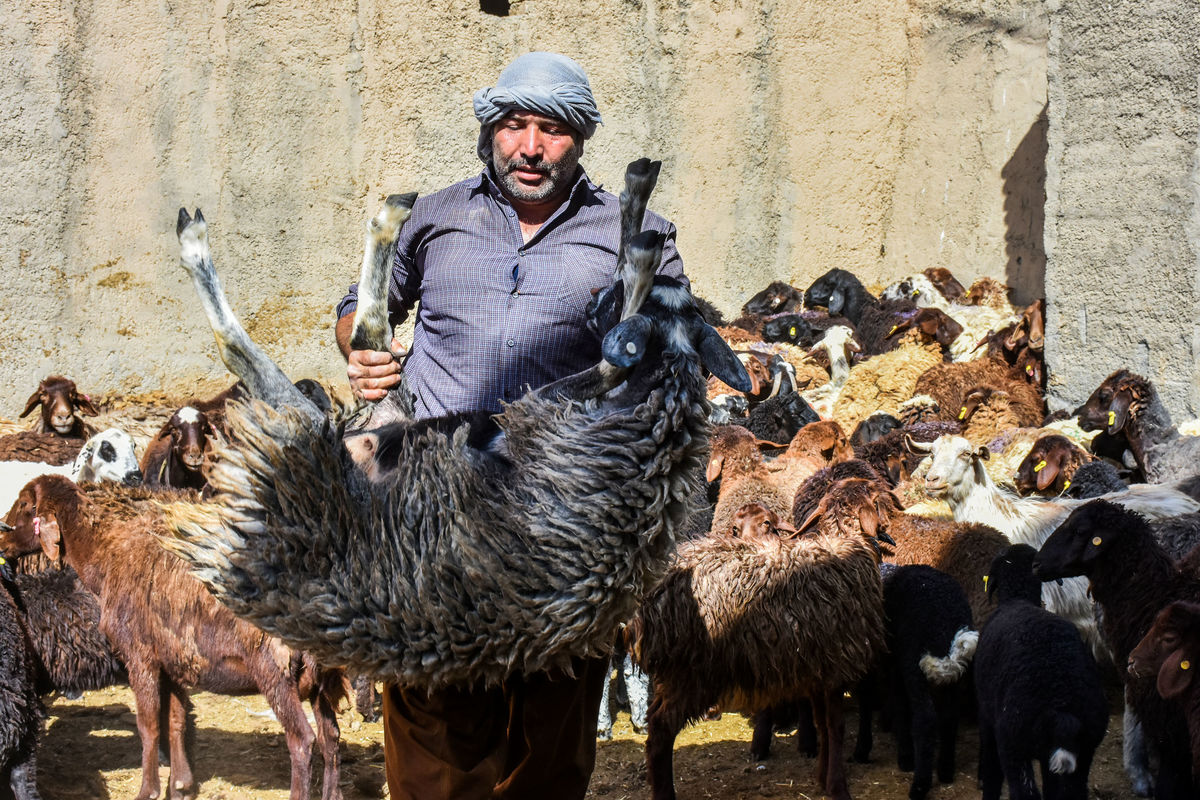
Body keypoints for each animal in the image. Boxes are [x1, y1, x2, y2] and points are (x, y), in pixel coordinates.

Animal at [974, 544, 1104, 800]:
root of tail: (1061, 708)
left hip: (1013, 745)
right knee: (1073, 790)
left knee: (1023, 792)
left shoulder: (986, 718)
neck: (1018, 597)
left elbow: (992, 772)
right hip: (1084, 750)